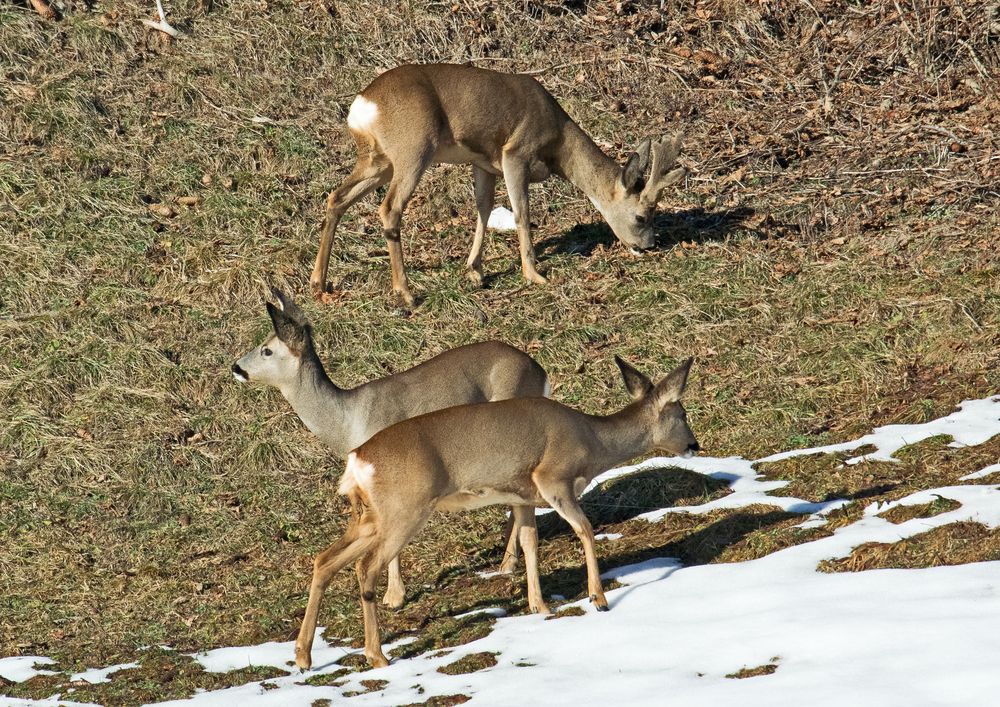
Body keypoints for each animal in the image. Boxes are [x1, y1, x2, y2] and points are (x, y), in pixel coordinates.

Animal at [232, 288, 548, 608]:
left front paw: (394, 595)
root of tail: (540, 371)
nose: (236, 368)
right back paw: (506, 561)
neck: (347, 422)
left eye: (267, 349)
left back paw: (509, 564)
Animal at [292, 360, 700, 668]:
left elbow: (530, 541)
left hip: (369, 516)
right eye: (682, 413)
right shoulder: (552, 477)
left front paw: (539, 605)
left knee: (324, 560)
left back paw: (303, 656)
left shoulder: (522, 495)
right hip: (403, 509)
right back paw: (377, 656)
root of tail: (356, 460)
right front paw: (597, 599)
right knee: (366, 568)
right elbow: (584, 528)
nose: (694, 445)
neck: (592, 441)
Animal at [312, 61, 688, 304]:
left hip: (377, 161)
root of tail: (362, 106)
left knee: (336, 197)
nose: (650, 244)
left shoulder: (484, 163)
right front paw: (534, 274)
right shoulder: (514, 153)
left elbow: (484, 209)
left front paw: (474, 270)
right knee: (389, 208)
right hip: (413, 149)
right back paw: (405, 292)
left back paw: (319, 283)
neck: (558, 143)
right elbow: (521, 212)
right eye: (642, 215)